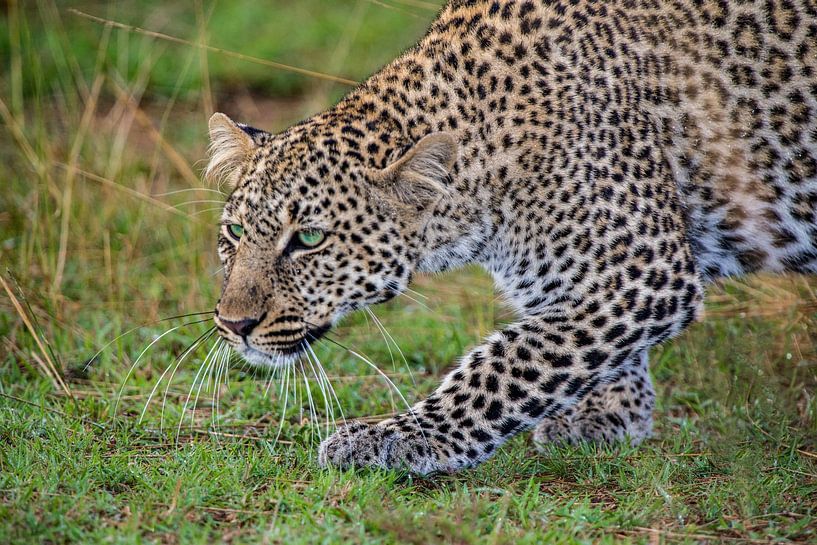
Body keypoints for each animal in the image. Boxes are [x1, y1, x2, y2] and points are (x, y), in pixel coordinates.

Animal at [206, 0, 817, 474]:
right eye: (234, 232)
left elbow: (508, 362)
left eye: (309, 239)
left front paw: (395, 438)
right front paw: (613, 412)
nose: (234, 326)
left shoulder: (646, 271)